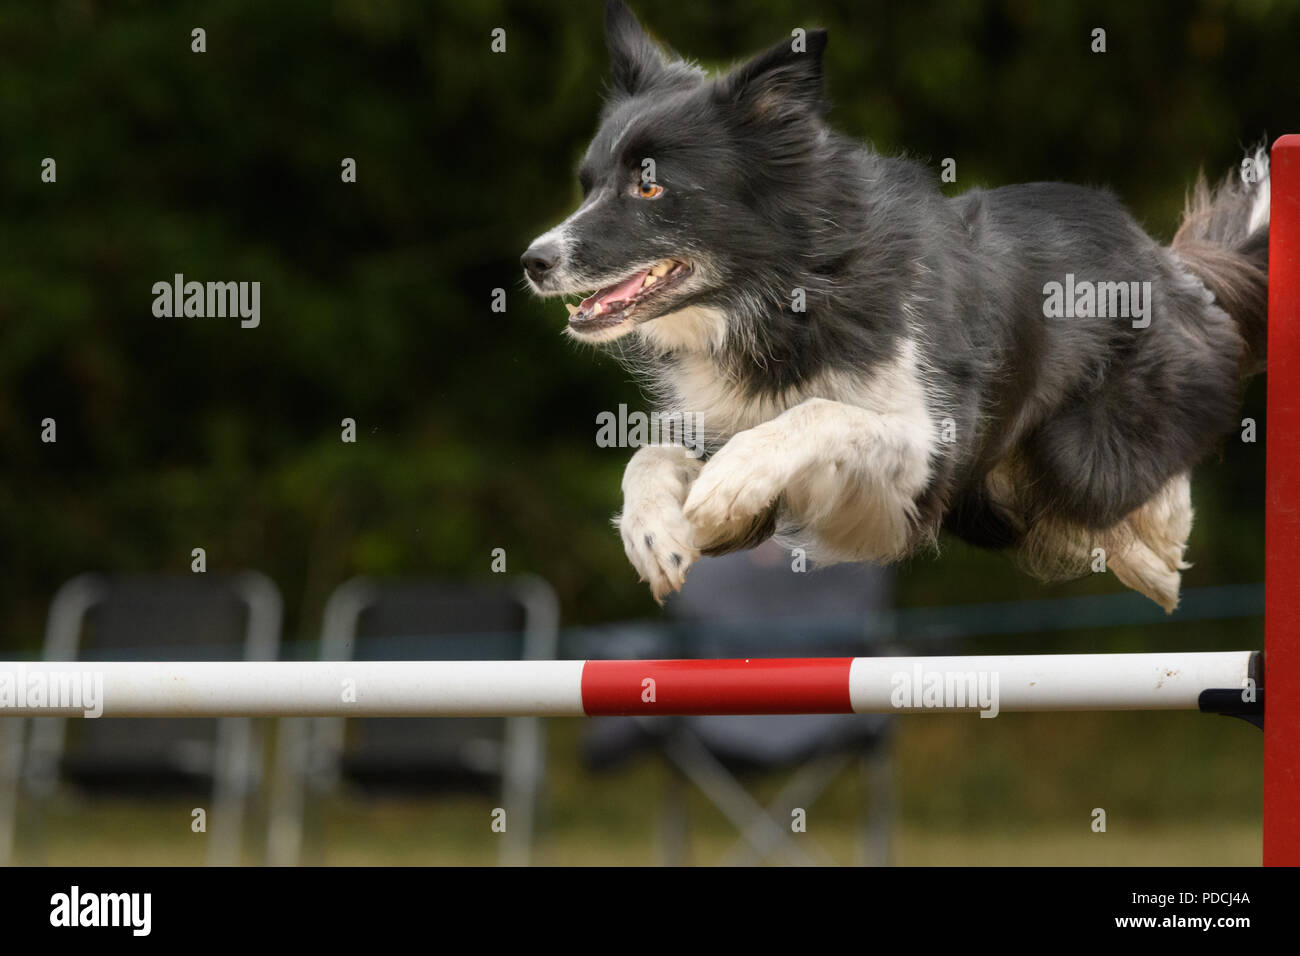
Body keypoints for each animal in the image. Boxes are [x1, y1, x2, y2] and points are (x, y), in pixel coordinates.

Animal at [520, 1, 1268, 613]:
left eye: (650, 188)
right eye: (588, 184)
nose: (534, 260)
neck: (786, 298)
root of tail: (1168, 262)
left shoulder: (921, 465)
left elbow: (823, 414)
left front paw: (732, 477)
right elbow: (651, 454)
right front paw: (658, 533)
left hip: (1082, 447)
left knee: (1134, 496)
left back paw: (1157, 557)